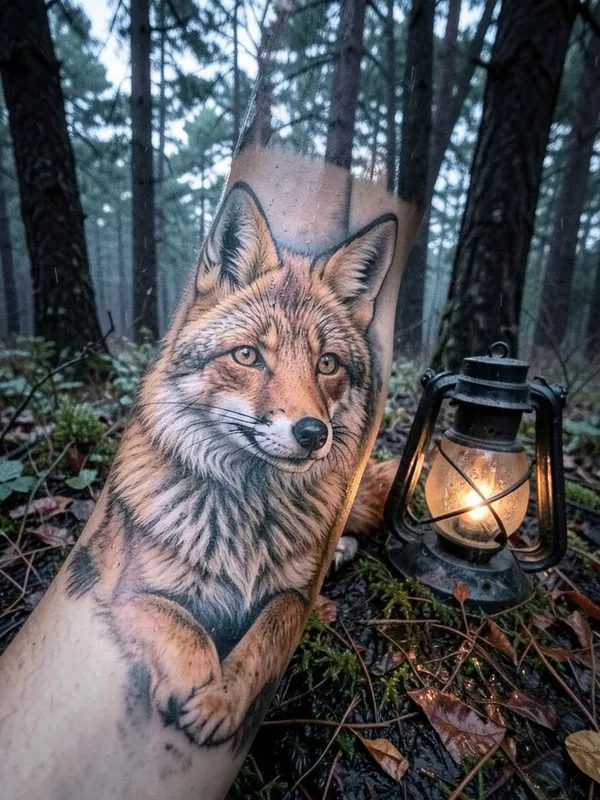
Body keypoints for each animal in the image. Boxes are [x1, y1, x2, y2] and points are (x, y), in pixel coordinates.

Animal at [66, 181, 398, 750]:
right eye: (248, 356)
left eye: (327, 364)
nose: (313, 434)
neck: (245, 527)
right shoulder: (123, 595)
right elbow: (184, 626)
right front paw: (198, 682)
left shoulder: (287, 598)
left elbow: (268, 632)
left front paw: (223, 698)